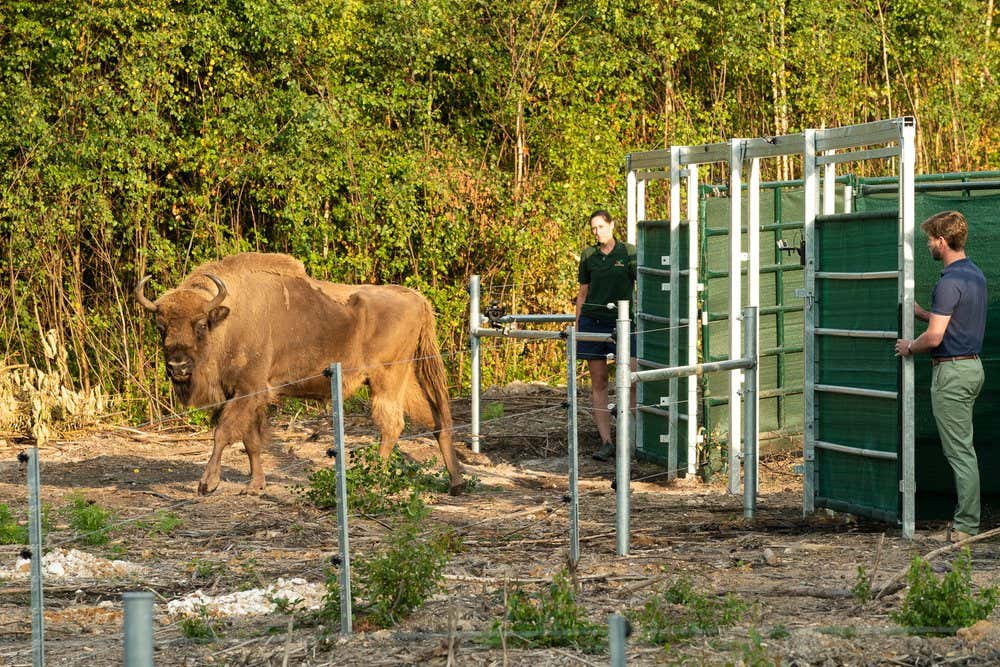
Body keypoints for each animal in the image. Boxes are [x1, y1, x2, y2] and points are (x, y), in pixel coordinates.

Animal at [136, 252, 465, 495]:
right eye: (161, 328)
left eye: (201, 325)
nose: (178, 367)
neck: (228, 320)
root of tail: (417, 299)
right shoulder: (247, 395)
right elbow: (251, 441)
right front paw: (255, 486)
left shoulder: (248, 390)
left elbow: (224, 433)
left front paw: (207, 484)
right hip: (404, 379)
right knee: (435, 421)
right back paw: (456, 483)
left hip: (386, 379)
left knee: (392, 425)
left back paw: (373, 481)